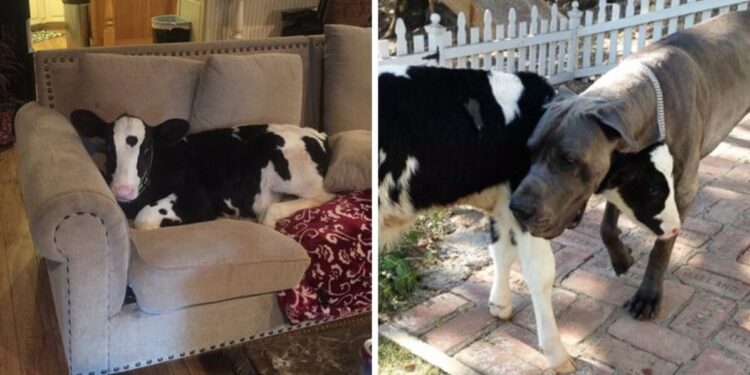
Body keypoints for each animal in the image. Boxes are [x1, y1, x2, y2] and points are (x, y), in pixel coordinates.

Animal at [71, 109, 334, 229]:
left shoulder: (199, 201)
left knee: (322, 196)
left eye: (147, 150)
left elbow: (145, 218)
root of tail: (316, 133)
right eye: (108, 147)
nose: (123, 191)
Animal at [512, 11, 750, 320]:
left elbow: (661, 247)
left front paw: (648, 294)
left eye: (569, 160)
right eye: (531, 150)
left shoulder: (682, 190)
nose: (517, 209)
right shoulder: (620, 170)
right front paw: (621, 257)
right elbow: (606, 226)